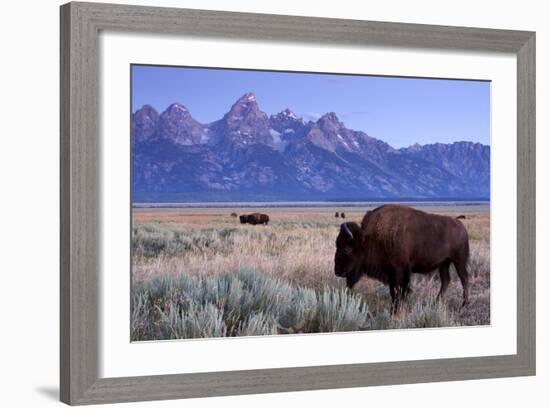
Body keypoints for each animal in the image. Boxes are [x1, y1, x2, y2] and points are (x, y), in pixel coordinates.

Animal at [334, 206, 472, 310]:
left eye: (346, 249)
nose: (337, 271)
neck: (370, 239)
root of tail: (461, 226)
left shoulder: (400, 271)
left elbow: (399, 292)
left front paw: (396, 311)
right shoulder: (391, 274)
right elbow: (394, 292)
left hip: (459, 260)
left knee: (464, 278)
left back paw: (464, 304)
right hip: (444, 263)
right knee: (446, 280)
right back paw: (436, 303)